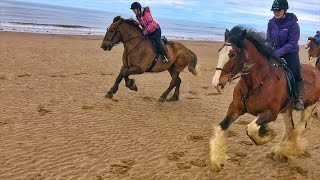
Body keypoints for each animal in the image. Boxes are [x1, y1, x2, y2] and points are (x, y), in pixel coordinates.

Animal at [210, 26, 320, 172]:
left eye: (232, 54)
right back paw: (278, 151)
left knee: (299, 129)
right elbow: (222, 127)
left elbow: (251, 128)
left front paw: (269, 134)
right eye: (219, 52)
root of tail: (317, 71)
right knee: (290, 128)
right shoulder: (235, 108)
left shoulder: (270, 113)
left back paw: (285, 150)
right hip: (286, 110)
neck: (256, 82)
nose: (216, 83)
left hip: (309, 107)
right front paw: (217, 160)